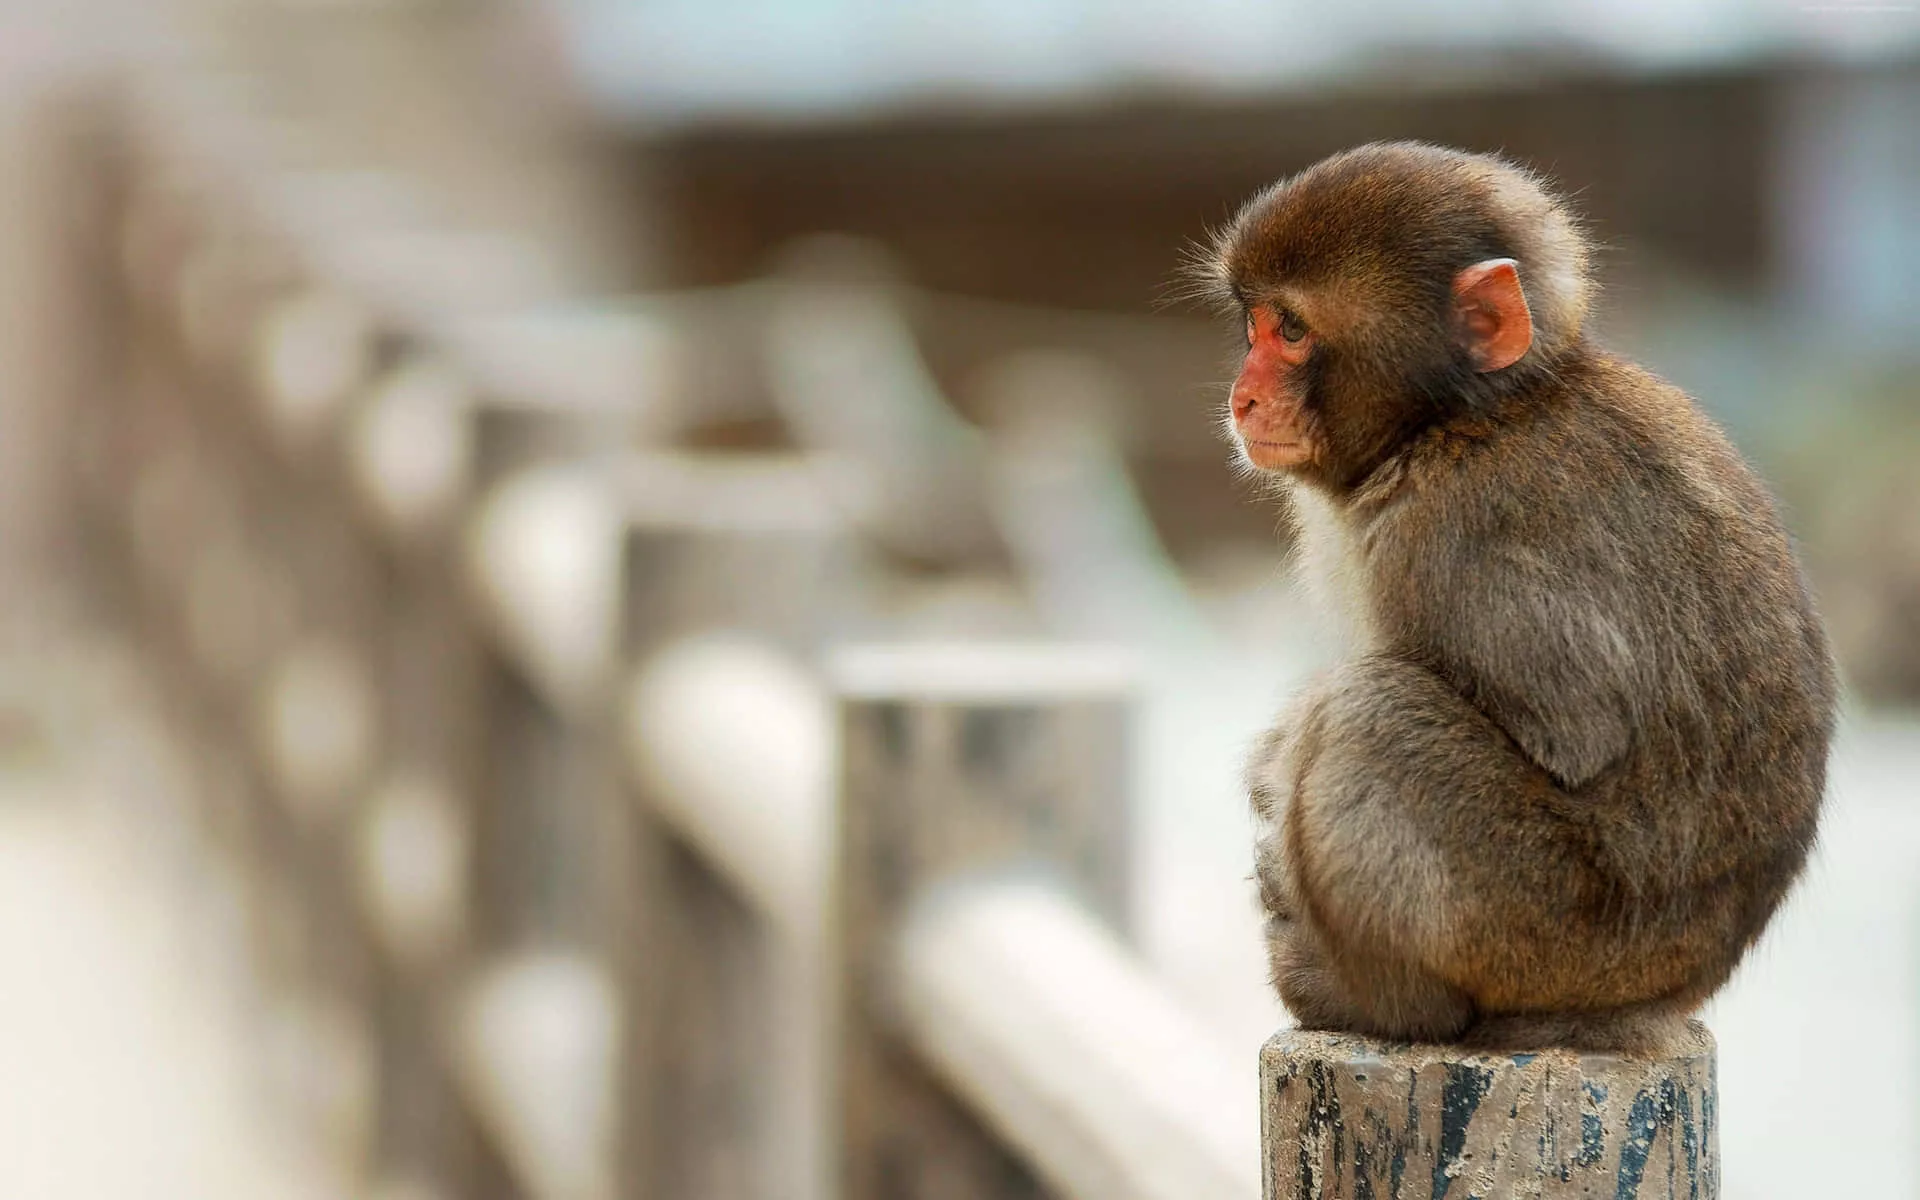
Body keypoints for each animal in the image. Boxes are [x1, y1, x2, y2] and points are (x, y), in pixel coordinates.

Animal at [1189, 142, 1837, 1053]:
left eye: (1291, 329)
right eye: (1253, 325)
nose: (1242, 397)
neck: (1459, 421)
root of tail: (1666, 995)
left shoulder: (1459, 534)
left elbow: (1574, 734)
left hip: (1547, 933)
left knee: (1369, 713)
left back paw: (1382, 1005)